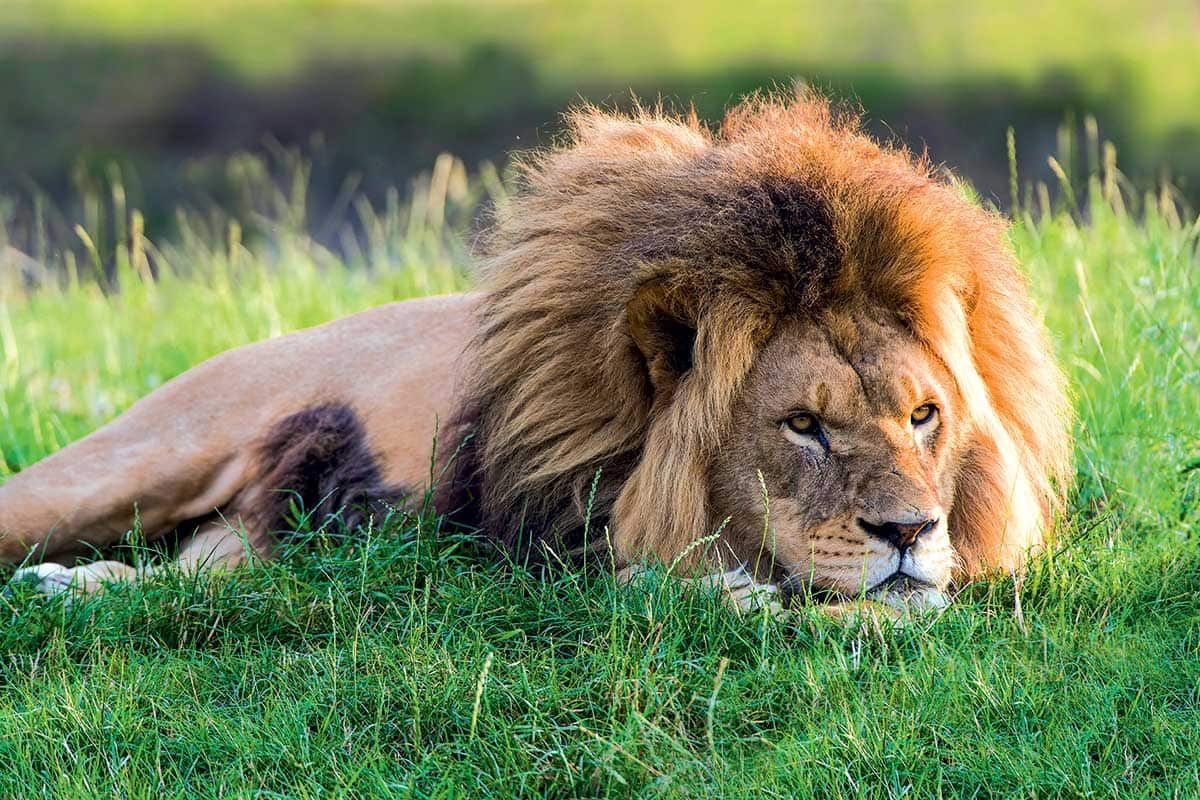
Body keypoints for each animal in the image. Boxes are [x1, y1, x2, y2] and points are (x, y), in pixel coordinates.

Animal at [0, 93, 1072, 615]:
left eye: (923, 417)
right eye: (802, 426)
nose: (911, 532)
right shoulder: (480, 551)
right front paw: (721, 590)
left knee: (199, 574)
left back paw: (73, 590)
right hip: (130, 462)